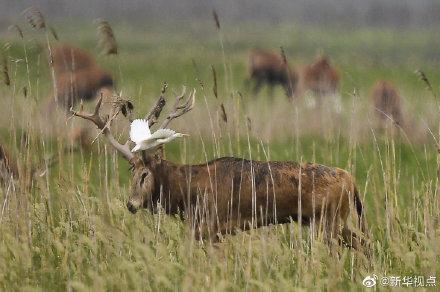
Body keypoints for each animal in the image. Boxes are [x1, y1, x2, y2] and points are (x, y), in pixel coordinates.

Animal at [71, 85, 364, 248]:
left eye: (145, 173)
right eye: (130, 171)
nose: (131, 204)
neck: (188, 193)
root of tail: (351, 180)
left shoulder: (209, 226)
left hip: (327, 219)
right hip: (333, 220)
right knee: (364, 242)